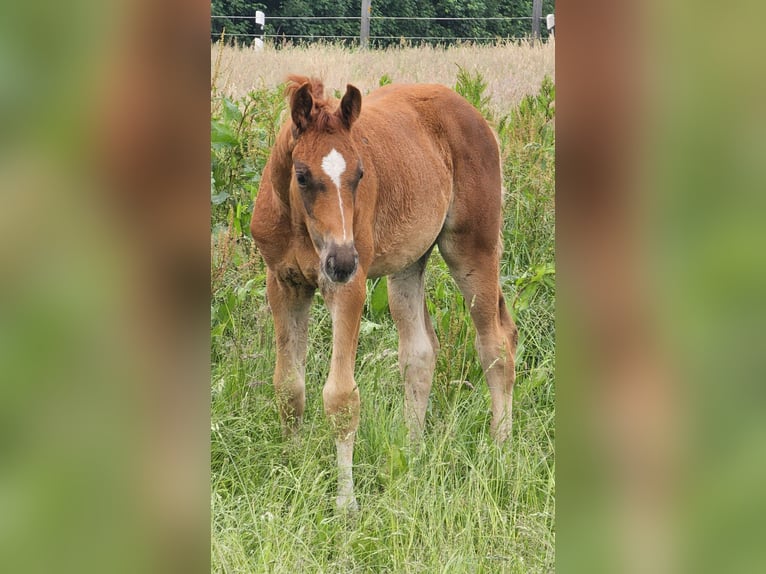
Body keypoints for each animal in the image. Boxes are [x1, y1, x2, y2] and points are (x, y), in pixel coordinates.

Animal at [252, 76, 520, 512]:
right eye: (302, 175)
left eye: (361, 173)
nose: (343, 259)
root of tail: (475, 114)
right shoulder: (283, 283)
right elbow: (289, 387)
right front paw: (289, 468)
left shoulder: (348, 289)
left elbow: (341, 396)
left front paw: (346, 504)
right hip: (409, 261)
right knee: (420, 352)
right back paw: (413, 454)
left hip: (471, 248)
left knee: (496, 344)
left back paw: (500, 452)